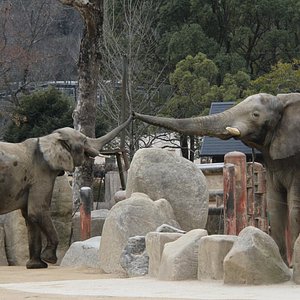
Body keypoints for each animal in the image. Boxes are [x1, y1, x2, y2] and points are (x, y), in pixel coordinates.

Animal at [0, 116, 131, 268]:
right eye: (84, 141)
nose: (133, 114)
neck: (50, 138)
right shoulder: (41, 174)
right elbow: (38, 211)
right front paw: (49, 259)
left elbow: (29, 215)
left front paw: (36, 266)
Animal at [134, 94, 300, 264]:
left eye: (255, 115)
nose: (133, 113)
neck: (283, 101)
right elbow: (275, 207)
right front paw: (280, 261)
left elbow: (294, 208)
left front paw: (292, 264)